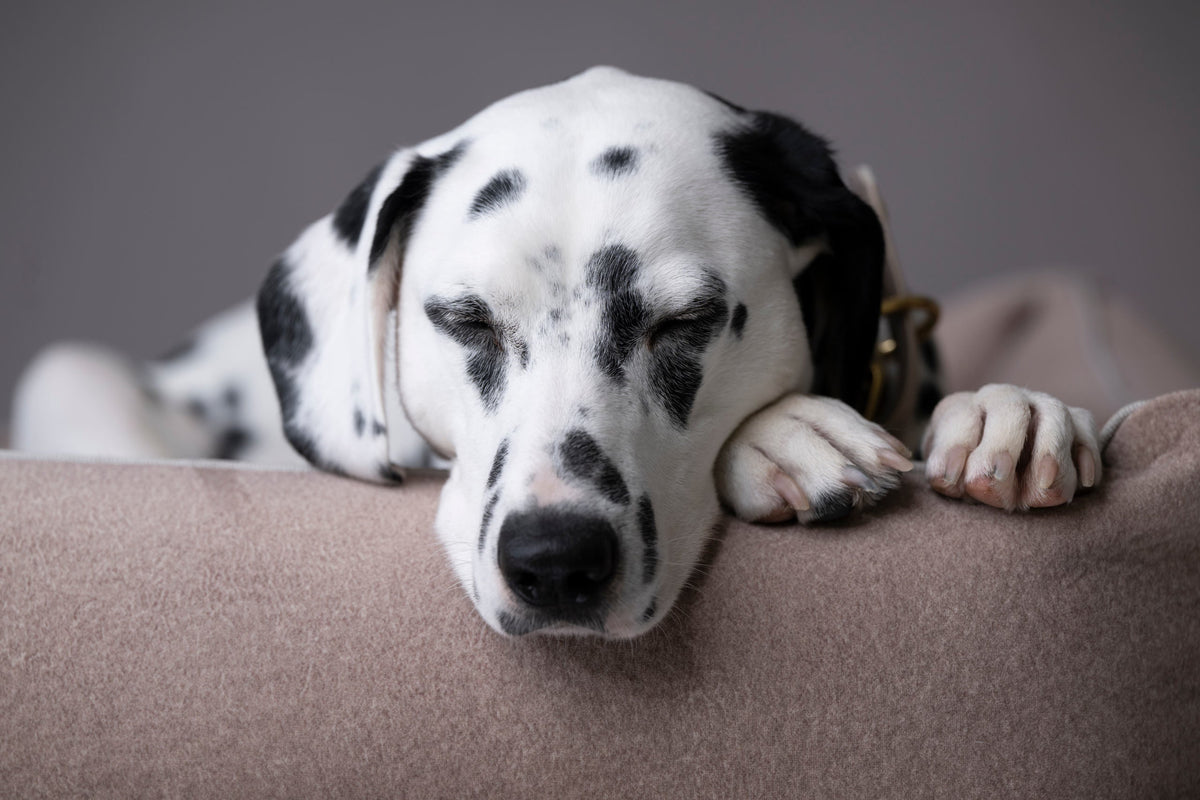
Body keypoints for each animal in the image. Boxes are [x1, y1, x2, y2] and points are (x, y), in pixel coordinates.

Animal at [14, 68, 1099, 642]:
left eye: (684, 321)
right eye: (465, 321)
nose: (554, 562)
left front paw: (1007, 410)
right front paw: (784, 436)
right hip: (67, 372)